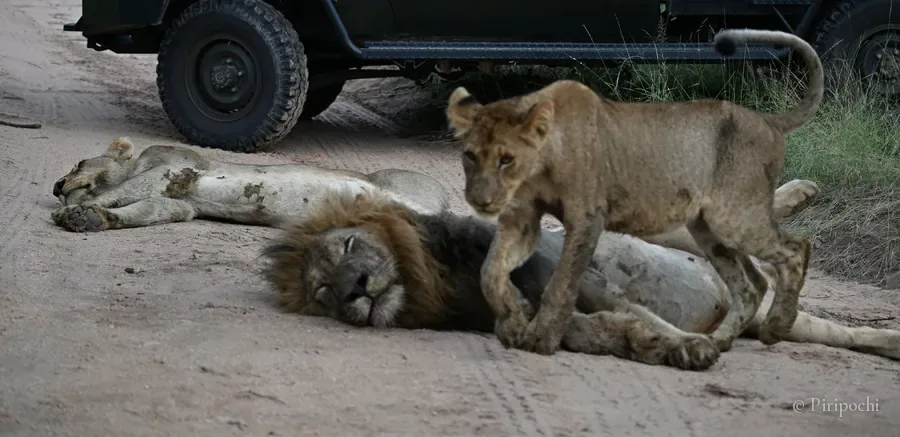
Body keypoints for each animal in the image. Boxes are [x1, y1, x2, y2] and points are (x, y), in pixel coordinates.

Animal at [260, 181, 900, 372]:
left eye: (350, 245)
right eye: (322, 291)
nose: (353, 289)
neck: (436, 282)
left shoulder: (565, 272)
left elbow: (631, 309)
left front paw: (693, 345)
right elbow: (616, 331)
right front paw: (673, 348)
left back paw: (798, 195)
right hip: (784, 319)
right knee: (836, 329)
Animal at [444, 29, 824, 355]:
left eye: (506, 159)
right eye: (470, 155)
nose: (479, 200)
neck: (540, 165)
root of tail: (768, 120)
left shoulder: (587, 217)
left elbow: (562, 284)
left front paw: (541, 338)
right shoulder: (522, 219)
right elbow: (490, 272)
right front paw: (513, 318)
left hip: (734, 216)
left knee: (795, 249)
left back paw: (775, 327)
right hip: (709, 228)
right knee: (751, 284)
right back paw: (718, 341)